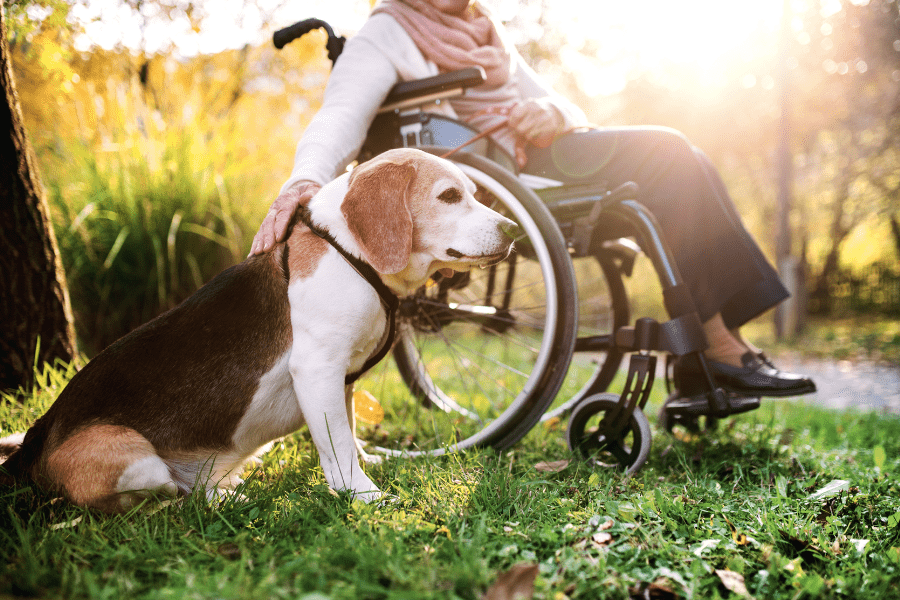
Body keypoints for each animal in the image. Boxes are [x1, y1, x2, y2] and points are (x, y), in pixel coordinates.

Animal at [0, 148, 516, 512]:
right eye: (449, 196)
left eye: (473, 192)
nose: (513, 229)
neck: (350, 253)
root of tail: (38, 438)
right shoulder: (317, 370)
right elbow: (338, 448)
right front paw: (365, 496)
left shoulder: (342, 380)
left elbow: (348, 436)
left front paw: (366, 470)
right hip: (131, 456)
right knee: (162, 503)